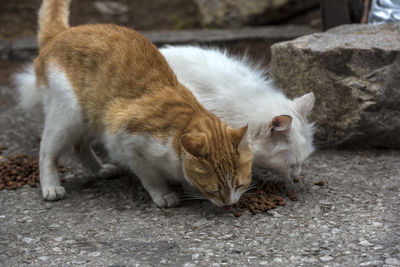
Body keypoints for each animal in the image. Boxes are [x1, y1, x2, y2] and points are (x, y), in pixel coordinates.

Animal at [17, 0, 253, 209]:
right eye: (214, 190)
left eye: (240, 185)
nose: (229, 204)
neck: (181, 126)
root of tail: (60, 34)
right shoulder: (127, 144)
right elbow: (151, 178)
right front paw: (165, 194)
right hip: (68, 117)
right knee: (47, 151)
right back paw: (51, 187)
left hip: (91, 120)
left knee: (79, 145)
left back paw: (101, 170)